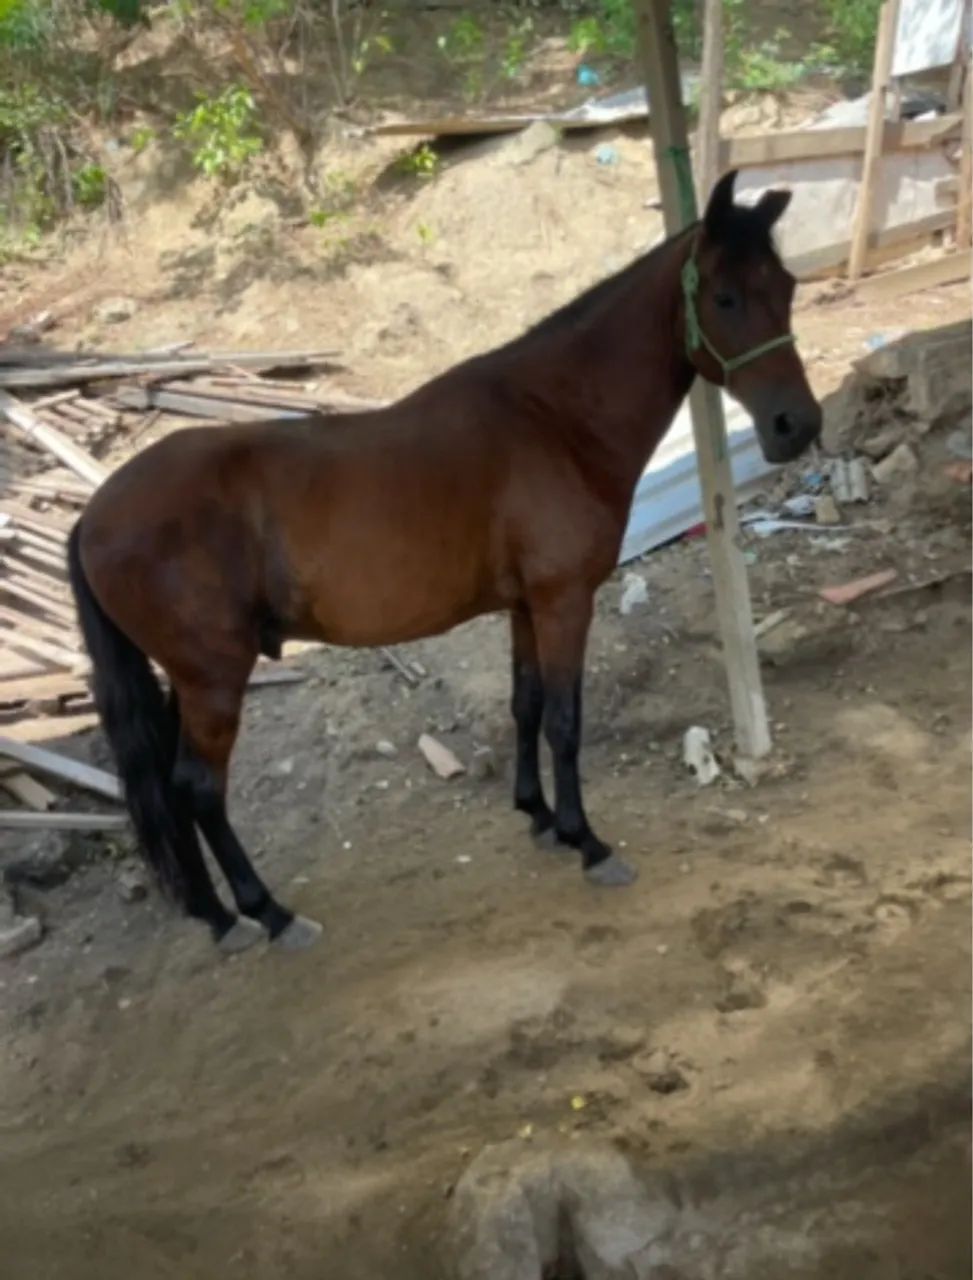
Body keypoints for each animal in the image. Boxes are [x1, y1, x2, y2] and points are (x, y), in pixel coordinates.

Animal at [67, 170, 821, 952]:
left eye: (786, 286)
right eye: (725, 297)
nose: (796, 426)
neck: (554, 420)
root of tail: (94, 514)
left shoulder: (526, 606)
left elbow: (525, 707)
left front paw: (540, 817)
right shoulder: (564, 601)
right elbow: (564, 721)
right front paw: (588, 841)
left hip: (187, 683)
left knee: (170, 790)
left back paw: (217, 916)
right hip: (214, 679)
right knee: (198, 790)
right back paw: (267, 914)